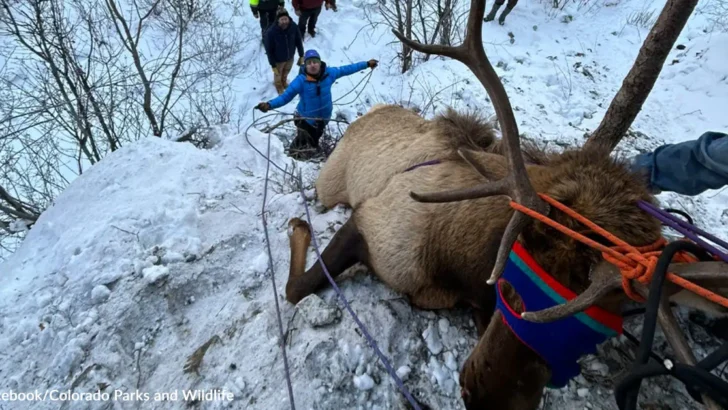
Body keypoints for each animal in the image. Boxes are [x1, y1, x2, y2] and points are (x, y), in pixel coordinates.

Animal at [283, 0, 728, 408]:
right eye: (511, 278)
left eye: (598, 326)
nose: (488, 399)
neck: (457, 263)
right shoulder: (373, 225)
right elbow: (295, 288)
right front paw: (299, 228)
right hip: (329, 184)